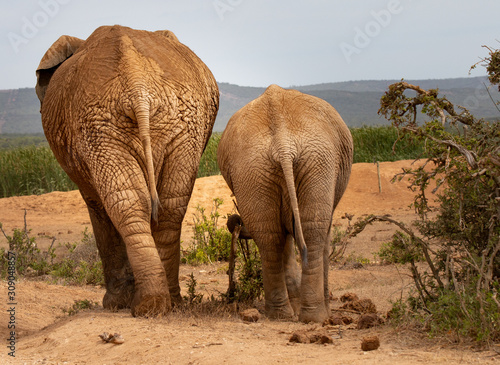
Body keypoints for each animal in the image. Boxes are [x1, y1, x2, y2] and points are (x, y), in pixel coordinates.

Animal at [36, 25, 220, 316]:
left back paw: (141, 305)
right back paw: (161, 304)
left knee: (127, 204)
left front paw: (114, 304)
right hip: (176, 125)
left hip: (103, 128)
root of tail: (137, 86)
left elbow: (97, 208)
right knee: (169, 204)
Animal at [217, 84, 354, 322]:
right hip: (317, 163)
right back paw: (315, 316)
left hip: (255, 168)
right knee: (312, 232)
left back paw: (282, 315)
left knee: (270, 236)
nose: (235, 221)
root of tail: (283, 143)